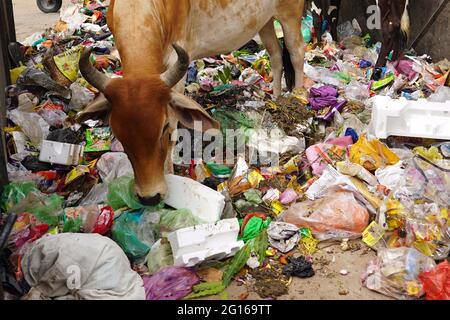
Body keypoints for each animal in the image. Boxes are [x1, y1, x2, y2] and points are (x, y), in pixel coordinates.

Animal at [79, 0, 308, 205]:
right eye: (118, 134)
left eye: (163, 128)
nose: (149, 198)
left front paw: (169, 174)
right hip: (265, 20)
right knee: (276, 55)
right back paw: (277, 98)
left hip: (290, 12)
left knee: (296, 51)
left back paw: (298, 99)